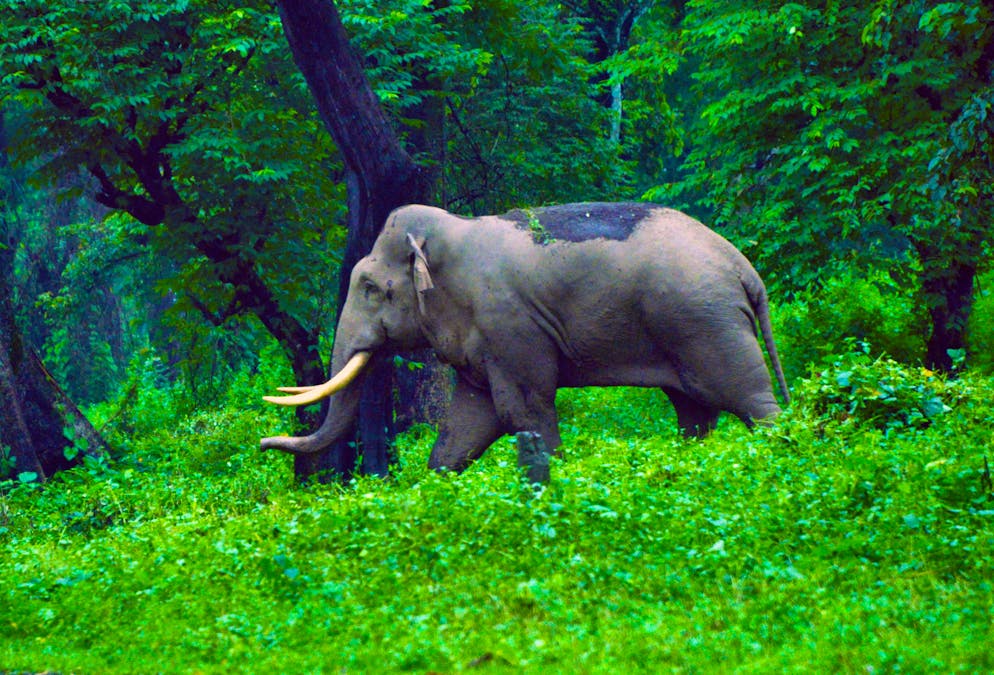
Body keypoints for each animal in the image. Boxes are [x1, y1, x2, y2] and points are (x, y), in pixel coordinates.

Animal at [261, 202, 790, 472]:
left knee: (751, 401)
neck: (452, 232)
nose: (266, 444)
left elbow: (523, 410)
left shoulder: (510, 326)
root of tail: (745, 269)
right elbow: (467, 425)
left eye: (371, 288)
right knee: (695, 413)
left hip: (706, 320)